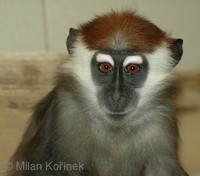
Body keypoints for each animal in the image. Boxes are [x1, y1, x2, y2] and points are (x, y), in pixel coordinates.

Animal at [7, 11, 188, 176]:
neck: (117, 130)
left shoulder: (162, 119)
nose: (116, 96)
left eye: (132, 68)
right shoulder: (65, 109)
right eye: (105, 67)